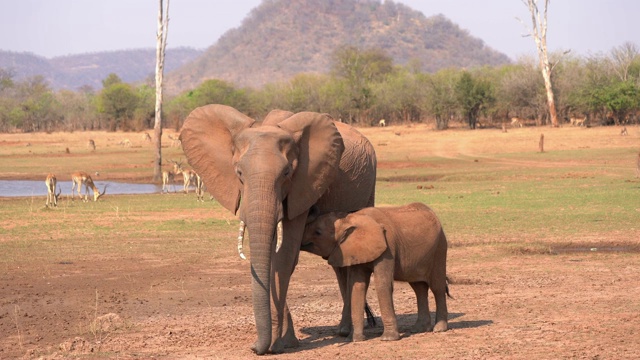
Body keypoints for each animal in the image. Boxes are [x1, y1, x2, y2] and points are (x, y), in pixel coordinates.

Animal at [179, 104, 376, 354]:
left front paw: (277, 344)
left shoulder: (304, 185)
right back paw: (343, 329)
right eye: (239, 173)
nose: (254, 347)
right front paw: (285, 341)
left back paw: (346, 331)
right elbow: (270, 257)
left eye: (286, 174)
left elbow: (283, 258)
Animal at [302, 202, 448, 340]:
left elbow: (382, 284)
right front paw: (356, 339)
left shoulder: (388, 247)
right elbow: (357, 286)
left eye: (318, 232)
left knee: (437, 287)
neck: (350, 219)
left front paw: (388, 339)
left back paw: (439, 329)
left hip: (440, 248)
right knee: (419, 287)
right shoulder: (354, 251)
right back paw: (419, 329)